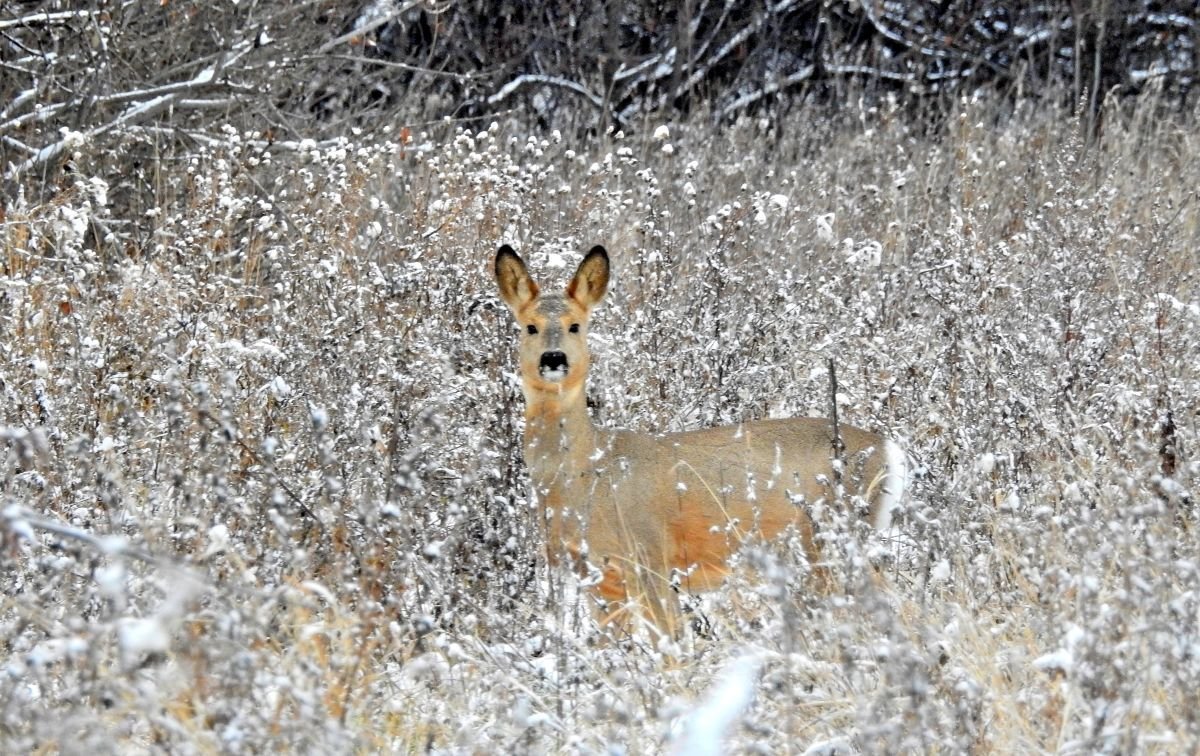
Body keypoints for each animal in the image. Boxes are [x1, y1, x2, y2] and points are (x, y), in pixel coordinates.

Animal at [492, 246, 902, 638]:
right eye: (530, 327)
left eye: (575, 325)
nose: (553, 358)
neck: (585, 473)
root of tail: (892, 452)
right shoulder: (599, 579)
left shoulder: (650, 555)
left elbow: (672, 644)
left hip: (834, 537)